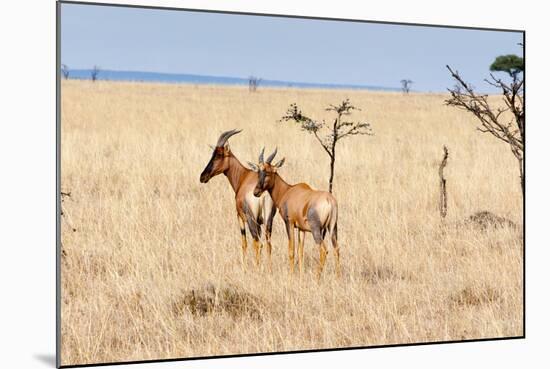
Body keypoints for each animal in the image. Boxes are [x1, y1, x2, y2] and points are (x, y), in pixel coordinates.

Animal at [199, 129, 276, 268]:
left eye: (219, 155)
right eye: (213, 154)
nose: (203, 177)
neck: (243, 176)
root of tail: (263, 194)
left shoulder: (240, 217)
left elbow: (244, 243)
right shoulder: (260, 221)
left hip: (251, 219)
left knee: (258, 243)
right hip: (268, 220)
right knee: (268, 243)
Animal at [250, 148, 340, 278]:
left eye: (268, 172)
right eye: (258, 172)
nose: (256, 192)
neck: (288, 190)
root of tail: (329, 200)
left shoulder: (289, 223)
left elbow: (291, 250)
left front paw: (291, 276)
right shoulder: (301, 229)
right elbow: (300, 251)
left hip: (316, 229)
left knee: (324, 250)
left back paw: (317, 278)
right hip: (332, 228)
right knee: (336, 249)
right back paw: (338, 277)